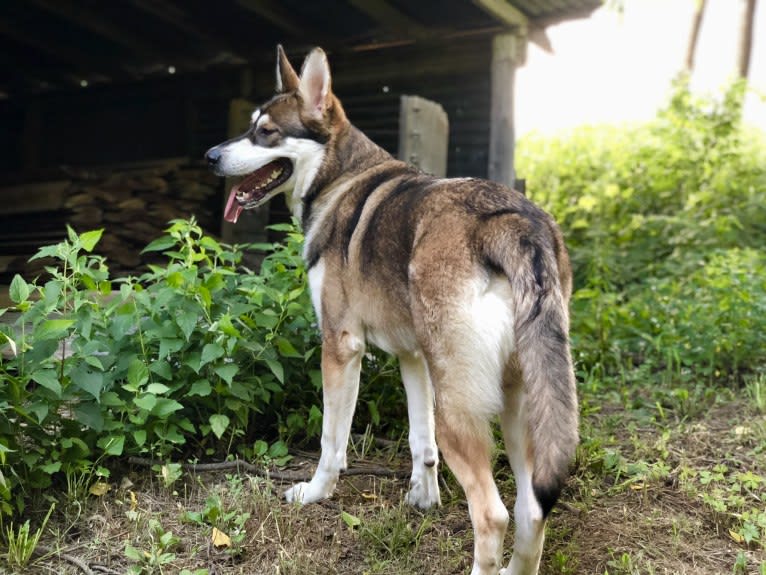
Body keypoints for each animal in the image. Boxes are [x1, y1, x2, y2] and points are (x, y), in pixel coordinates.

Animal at [207, 46, 580, 575]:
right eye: (249, 126)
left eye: (266, 132)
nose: (210, 156)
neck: (339, 178)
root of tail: (510, 221)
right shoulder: (413, 357)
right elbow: (421, 443)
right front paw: (423, 499)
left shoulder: (341, 348)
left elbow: (331, 443)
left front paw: (315, 493)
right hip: (521, 409)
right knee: (531, 511)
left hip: (461, 410)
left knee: (493, 515)